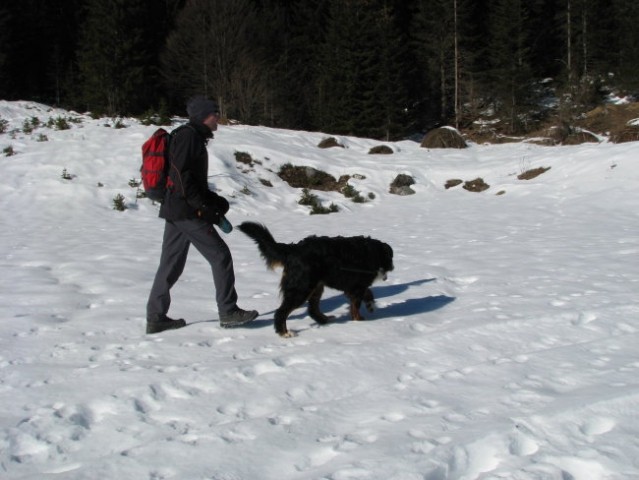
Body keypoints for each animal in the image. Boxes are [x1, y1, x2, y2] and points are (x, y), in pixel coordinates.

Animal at [238, 222, 392, 338]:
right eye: (389, 258)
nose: (390, 270)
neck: (372, 252)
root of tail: (294, 249)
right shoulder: (357, 286)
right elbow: (356, 305)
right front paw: (359, 321)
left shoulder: (354, 287)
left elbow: (368, 293)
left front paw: (370, 305)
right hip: (301, 288)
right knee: (281, 312)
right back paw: (284, 333)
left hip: (316, 286)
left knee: (312, 309)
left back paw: (325, 320)